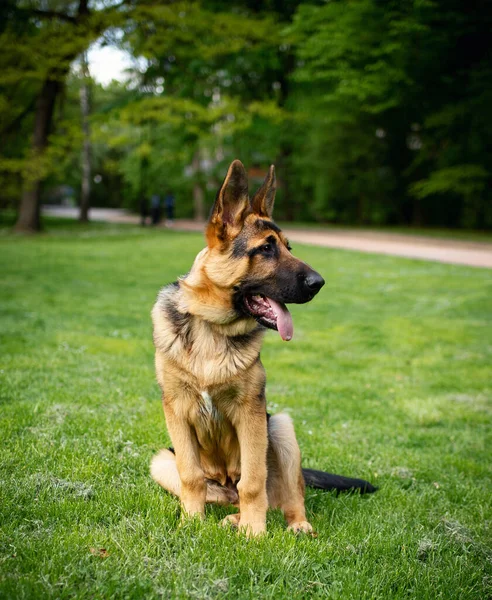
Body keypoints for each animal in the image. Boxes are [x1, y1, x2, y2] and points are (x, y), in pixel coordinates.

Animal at [150, 158, 376, 536]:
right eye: (266, 248)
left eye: (288, 247)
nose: (319, 283)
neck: (213, 328)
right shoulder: (176, 411)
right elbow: (191, 476)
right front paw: (191, 524)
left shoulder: (251, 414)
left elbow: (254, 482)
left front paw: (254, 533)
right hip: (161, 459)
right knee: (221, 494)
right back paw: (229, 516)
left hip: (280, 427)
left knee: (283, 497)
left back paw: (290, 524)